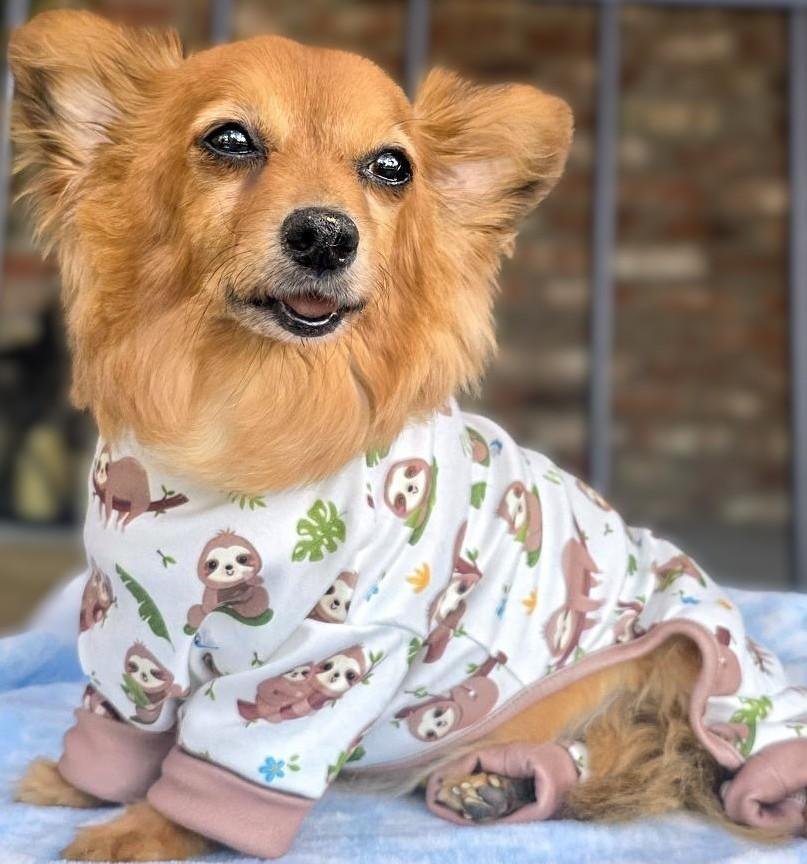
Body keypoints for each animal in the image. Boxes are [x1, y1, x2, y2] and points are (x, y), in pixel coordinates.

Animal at [9, 11, 807, 861]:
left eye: (391, 168)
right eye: (230, 140)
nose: (326, 234)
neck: (246, 401)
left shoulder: (336, 650)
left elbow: (223, 767)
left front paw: (144, 830)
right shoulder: (126, 624)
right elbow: (124, 718)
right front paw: (78, 784)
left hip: (678, 656)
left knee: (640, 741)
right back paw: (496, 784)